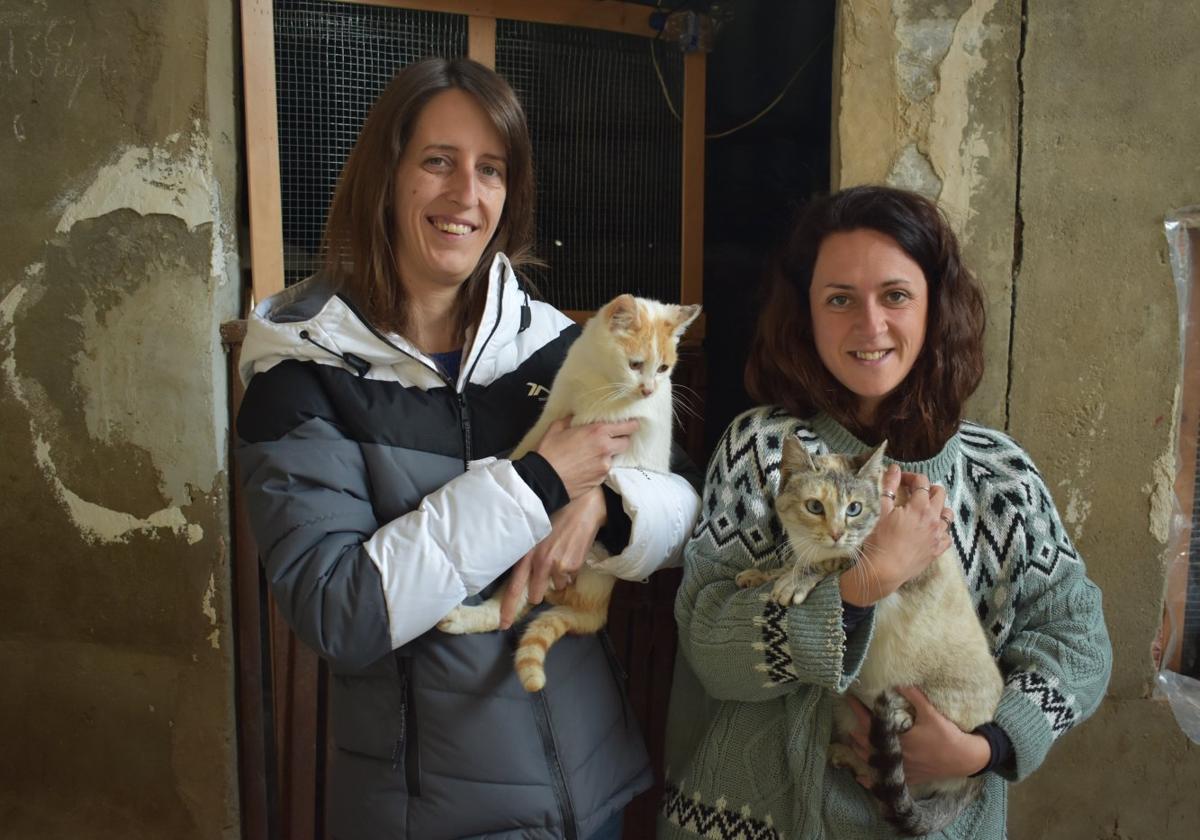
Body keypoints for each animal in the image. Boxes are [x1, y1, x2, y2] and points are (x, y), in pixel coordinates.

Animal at [439, 291, 700, 691]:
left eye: (663, 369)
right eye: (636, 364)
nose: (648, 389)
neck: (599, 378)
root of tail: (598, 609)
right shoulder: (553, 410)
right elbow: (528, 446)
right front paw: (505, 468)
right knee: (507, 610)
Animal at [739, 436, 1003, 835]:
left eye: (854, 509)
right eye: (815, 506)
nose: (836, 533)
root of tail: (975, 781)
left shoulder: (884, 562)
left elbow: (831, 561)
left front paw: (793, 580)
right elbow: (788, 563)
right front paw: (761, 575)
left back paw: (898, 721)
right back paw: (843, 754)